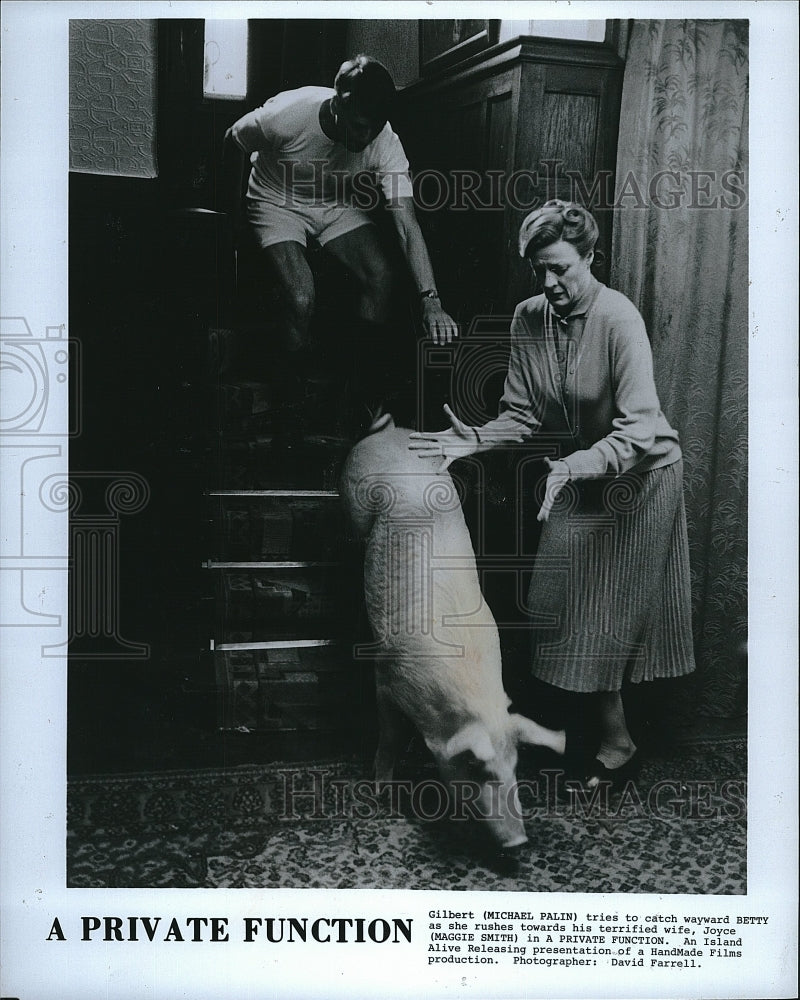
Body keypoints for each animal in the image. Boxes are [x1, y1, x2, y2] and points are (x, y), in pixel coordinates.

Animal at [340, 410, 568, 856]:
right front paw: (381, 788)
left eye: (516, 767)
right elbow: (390, 734)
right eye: (477, 768)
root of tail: (391, 432)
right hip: (352, 501)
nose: (519, 840)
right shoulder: (385, 677)